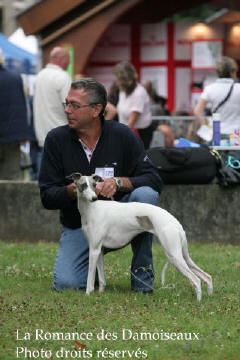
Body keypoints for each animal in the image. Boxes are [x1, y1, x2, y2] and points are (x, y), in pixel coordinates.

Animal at [68, 173, 214, 300]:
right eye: (83, 185)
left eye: (94, 185)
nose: (94, 198)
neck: (92, 210)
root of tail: (176, 223)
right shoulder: (99, 249)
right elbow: (102, 278)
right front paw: (100, 293)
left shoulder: (94, 250)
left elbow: (90, 277)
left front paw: (88, 294)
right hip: (183, 255)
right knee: (207, 277)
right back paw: (209, 296)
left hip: (174, 255)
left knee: (196, 280)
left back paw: (198, 301)